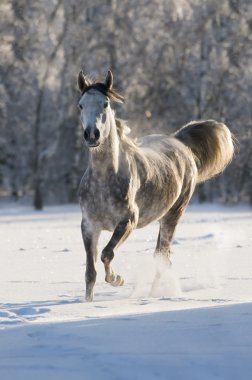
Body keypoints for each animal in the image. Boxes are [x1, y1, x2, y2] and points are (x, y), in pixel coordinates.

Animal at [77, 70, 234, 302]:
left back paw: (153, 296)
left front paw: (117, 279)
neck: (104, 182)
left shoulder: (128, 222)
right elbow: (90, 273)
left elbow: (107, 253)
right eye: (81, 105)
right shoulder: (89, 226)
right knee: (162, 257)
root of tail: (180, 141)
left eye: (105, 103)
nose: (92, 134)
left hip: (173, 214)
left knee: (162, 257)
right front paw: (88, 303)